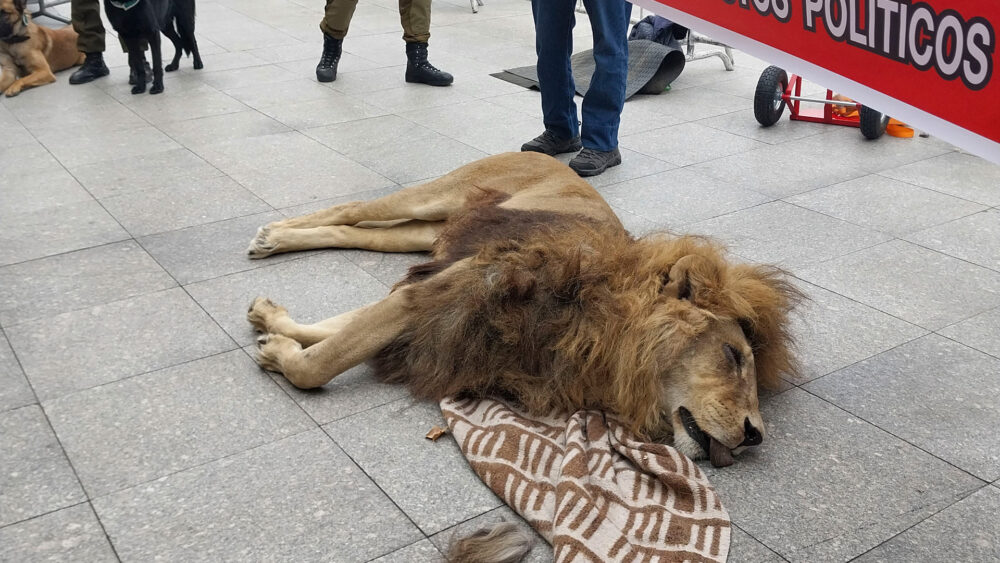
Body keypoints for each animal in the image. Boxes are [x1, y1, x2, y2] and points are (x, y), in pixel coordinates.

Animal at [250, 152, 804, 470]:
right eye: (734, 356)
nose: (755, 435)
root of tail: (547, 155)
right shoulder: (454, 285)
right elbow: (324, 360)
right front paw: (280, 353)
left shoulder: (437, 290)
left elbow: (338, 329)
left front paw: (273, 325)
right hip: (437, 197)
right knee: (354, 209)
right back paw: (272, 233)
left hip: (427, 233)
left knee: (359, 231)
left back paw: (276, 246)